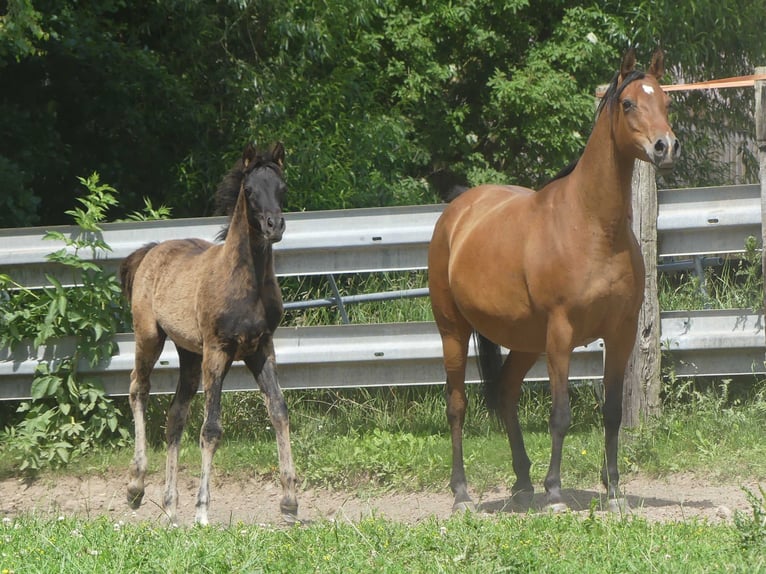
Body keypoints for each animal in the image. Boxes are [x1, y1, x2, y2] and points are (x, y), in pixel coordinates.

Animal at [120, 142, 298, 525]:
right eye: (250, 190)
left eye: (282, 187)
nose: (274, 225)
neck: (245, 284)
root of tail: (150, 251)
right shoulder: (218, 351)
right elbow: (211, 428)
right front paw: (202, 511)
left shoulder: (262, 349)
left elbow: (278, 411)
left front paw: (290, 504)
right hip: (149, 336)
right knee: (138, 389)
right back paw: (135, 487)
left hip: (188, 353)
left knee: (175, 416)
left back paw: (170, 509)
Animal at [428, 49, 679, 513]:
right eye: (628, 103)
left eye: (667, 101)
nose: (665, 146)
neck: (591, 226)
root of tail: (458, 209)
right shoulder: (561, 334)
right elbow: (560, 414)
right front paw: (557, 493)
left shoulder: (620, 334)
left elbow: (613, 411)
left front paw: (613, 492)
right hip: (453, 331)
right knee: (457, 405)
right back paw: (462, 494)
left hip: (526, 342)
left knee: (507, 394)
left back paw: (523, 482)